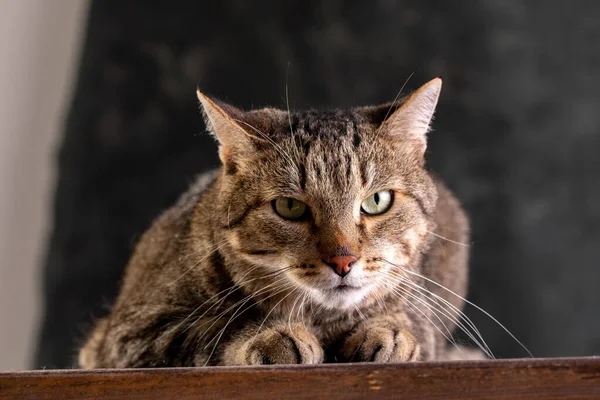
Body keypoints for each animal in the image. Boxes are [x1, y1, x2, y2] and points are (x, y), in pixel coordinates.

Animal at [78, 76, 478, 368]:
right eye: (289, 207)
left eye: (376, 201)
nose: (343, 260)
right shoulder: (127, 338)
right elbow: (214, 331)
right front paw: (272, 336)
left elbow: (410, 322)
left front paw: (390, 332)